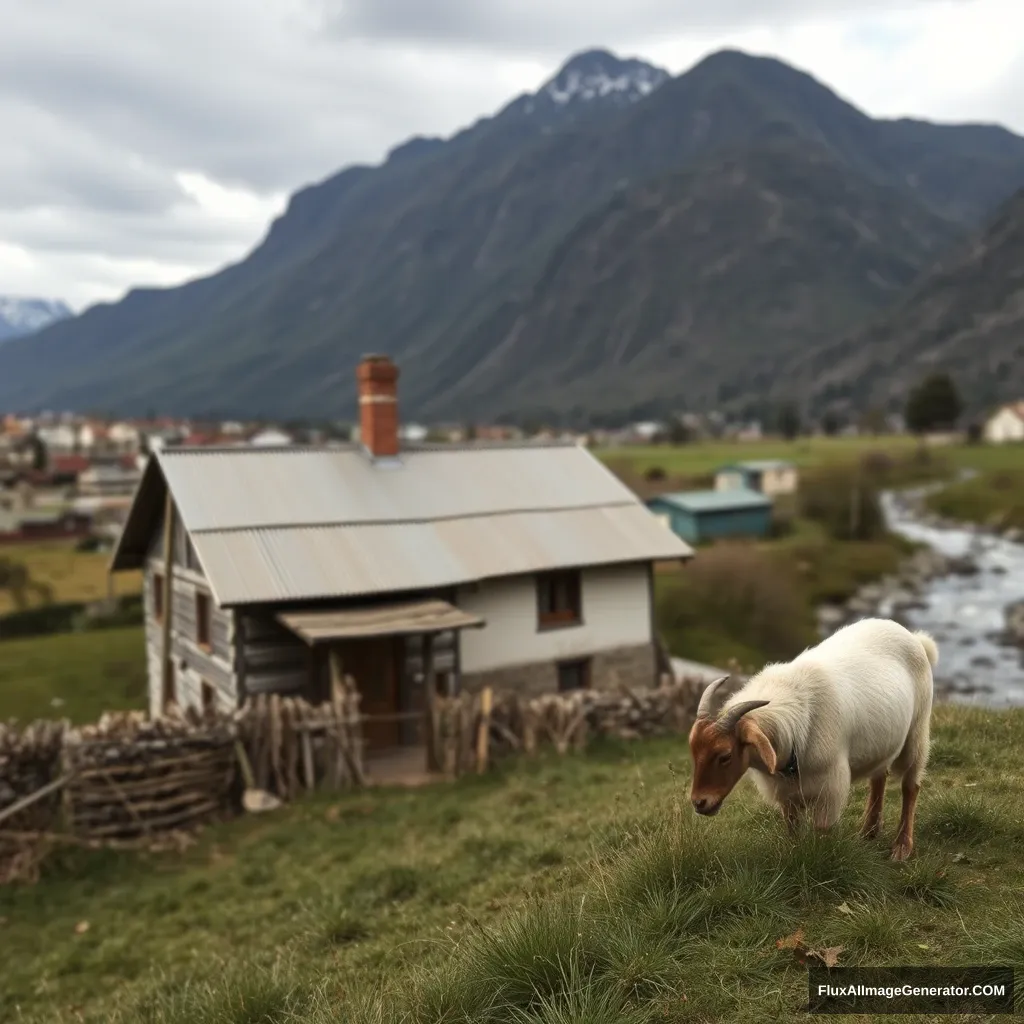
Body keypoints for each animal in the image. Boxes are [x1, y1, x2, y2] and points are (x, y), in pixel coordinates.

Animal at [688, 618, 937, 860]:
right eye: (694, 752)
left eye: (725, 756)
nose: (699, 803)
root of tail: (914, 637)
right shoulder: (785, 794)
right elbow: (792, 829)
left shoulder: (830, 791)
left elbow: (822, 833)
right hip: (883, 742)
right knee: (879, 777)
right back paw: (868, 832)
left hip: (917, 732)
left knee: (910, 786)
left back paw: (902, 846)